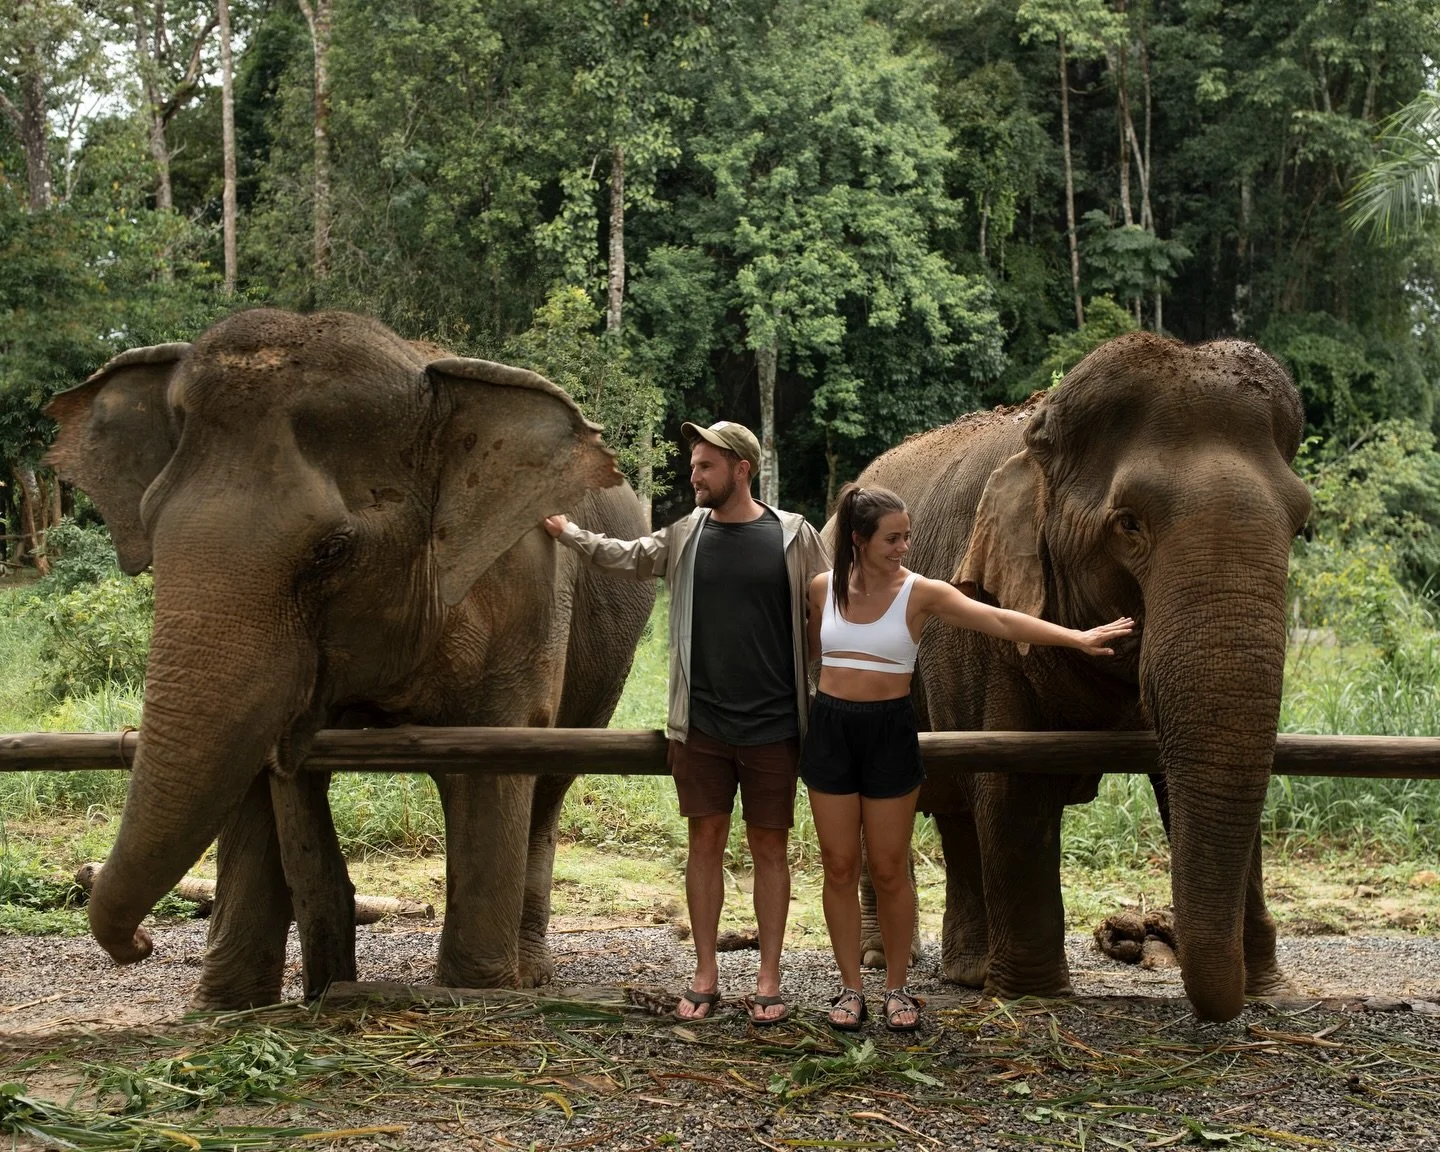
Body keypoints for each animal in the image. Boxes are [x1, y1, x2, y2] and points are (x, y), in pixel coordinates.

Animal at [44, 308, 654, 1010]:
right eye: (148, 522)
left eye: (331, 550)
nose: (140, 945)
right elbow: (250, 769)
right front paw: (227, 1007)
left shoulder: (526, 591)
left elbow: (493, 762)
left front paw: (472, 998)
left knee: (548, 788)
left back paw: (532, 979)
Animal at [851, 331, 1311, 1023]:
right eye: (1129, 524)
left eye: (1301, 522)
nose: (1218, 1004)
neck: (1039, 439)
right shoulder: (983, 617)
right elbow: (1012, 784)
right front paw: (1036, 997)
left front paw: (1269, 993)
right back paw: (887, 959)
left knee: (957, 811)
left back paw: (966, 973)